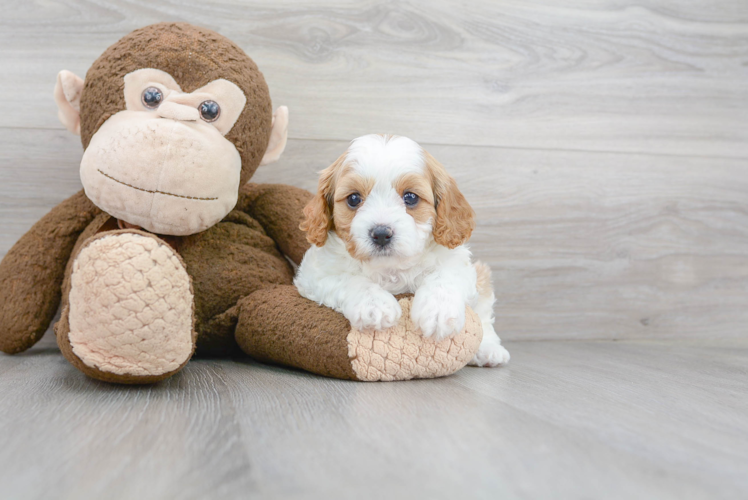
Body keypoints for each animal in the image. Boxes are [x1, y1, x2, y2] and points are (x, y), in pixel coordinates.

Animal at [296, 135, 512, 366]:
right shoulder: (314, 273)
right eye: (353, 199)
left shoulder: (458, 262)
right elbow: (348, 279)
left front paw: (437, 310)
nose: (381, 234)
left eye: (411, 197)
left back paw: (489, 349)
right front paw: (374, 305)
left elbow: (444, 277)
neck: (391, 267)